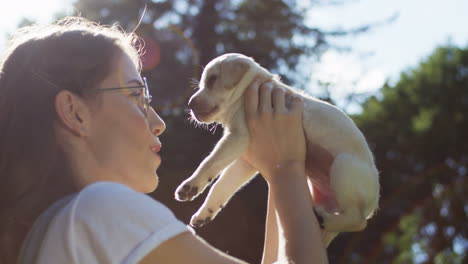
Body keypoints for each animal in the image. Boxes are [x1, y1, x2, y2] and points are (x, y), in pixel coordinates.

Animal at [176, 52, 380, 246]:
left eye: (212, 80)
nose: (189, 104)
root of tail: (372, 205)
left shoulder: (237, 138)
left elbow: (209, 162)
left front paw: (190, 185)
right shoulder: (245, 161)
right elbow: (221, 185)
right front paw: (205, 212)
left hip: (343, 166)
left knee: (359, 222)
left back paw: (327, 219)